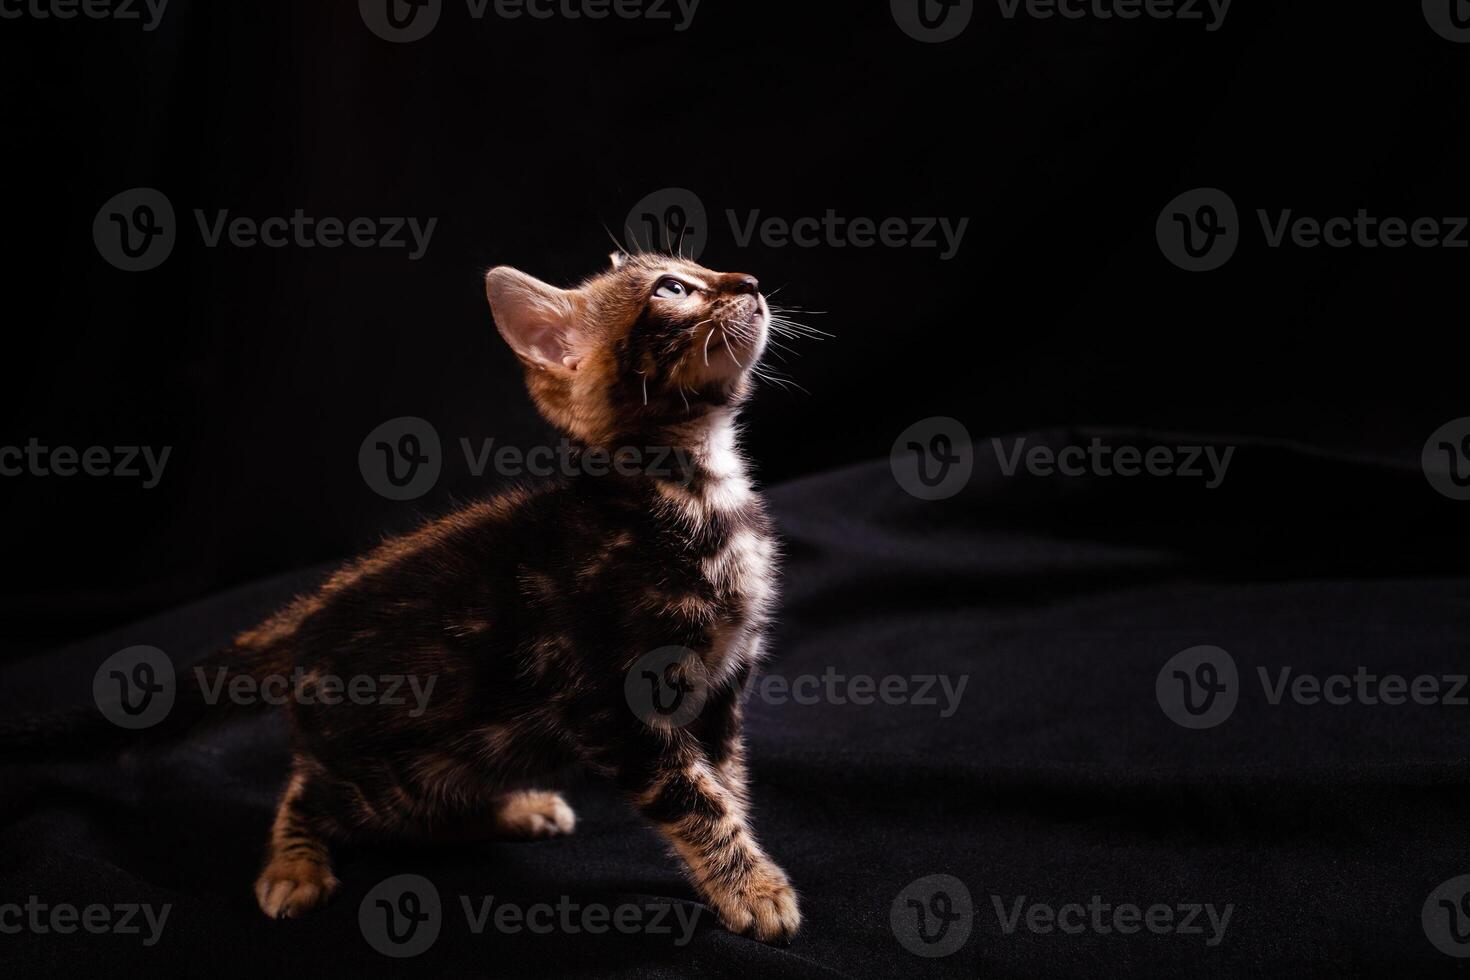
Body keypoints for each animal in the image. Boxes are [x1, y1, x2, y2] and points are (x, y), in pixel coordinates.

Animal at [236, 251, 805, 940]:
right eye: (672, 288)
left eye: (702, 266)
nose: (750, 282)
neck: (698, 488)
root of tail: (301, 622)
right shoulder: (616, 702)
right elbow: (695, 799)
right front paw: (753, 887)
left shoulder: (720, 691)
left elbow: (725, 783)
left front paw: (743, 872)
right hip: (381, 776)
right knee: (306, 791)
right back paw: (294, 865)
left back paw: (520, 811)